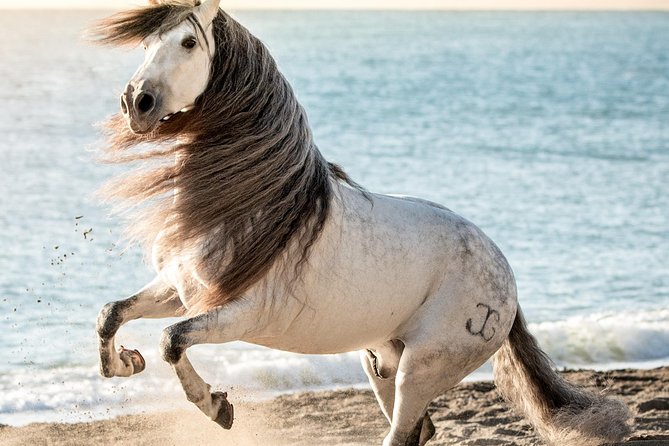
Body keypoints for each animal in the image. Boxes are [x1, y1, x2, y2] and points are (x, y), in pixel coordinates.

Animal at [91, 1, 628, 444]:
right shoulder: (180, 290)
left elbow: (171, 341)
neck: (256, 205)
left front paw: (216, 408)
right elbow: (112, 314)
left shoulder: (238, 315)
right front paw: (124, 364)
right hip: (381, 361)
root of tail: (506, 278)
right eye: (146, 44)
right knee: (418, 430)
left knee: (405, 430)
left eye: (188, 42)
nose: (135, 102)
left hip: (422, 367)